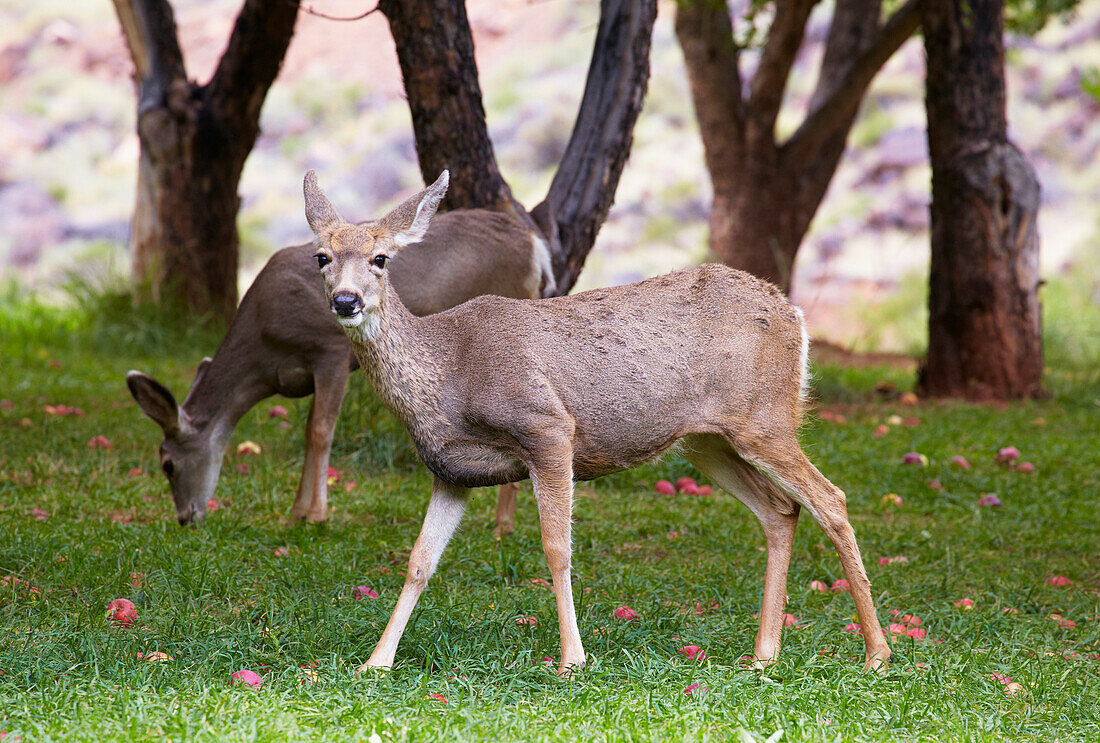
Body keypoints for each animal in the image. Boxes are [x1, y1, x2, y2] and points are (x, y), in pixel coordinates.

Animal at [128, 205, 554, 526]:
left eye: (167, 464)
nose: (185, 518)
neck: (265, 350)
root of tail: (537, 246)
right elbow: (306, 431)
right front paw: (297, 511)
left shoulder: (329, 348)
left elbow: (320, 431)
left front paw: (316, 514)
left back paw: (502, 524)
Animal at [301, 169, 893, 678]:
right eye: (321, 256)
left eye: (380, 258)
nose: (346, 300)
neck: (447, 374)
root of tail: (795, 313)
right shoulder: (450, 472)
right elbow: (419, 562)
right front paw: (375, 662)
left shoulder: (547, 428)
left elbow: (556, 548)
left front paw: (572, 658)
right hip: (707, 440)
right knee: (780, 510)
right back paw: (764, 654)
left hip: (764, 417)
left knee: (831, 499)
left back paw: (876, 654)